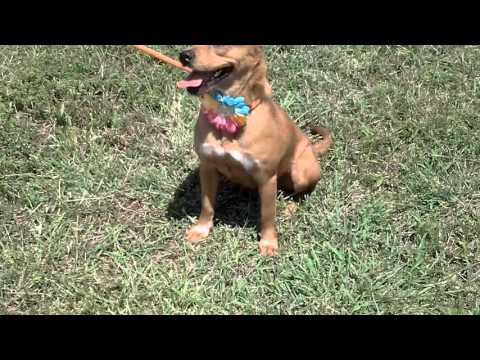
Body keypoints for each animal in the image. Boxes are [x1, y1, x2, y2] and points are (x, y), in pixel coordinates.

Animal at [177, 45, 334, 256]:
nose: (183, 56)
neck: (228, 111)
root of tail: (311, 146)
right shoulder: (207, 166)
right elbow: (207, 204)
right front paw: (201, 229)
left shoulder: (266, 177)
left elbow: (267, 215)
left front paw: (268, 243)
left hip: (302, 172)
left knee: (300, 193)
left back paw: (290, 207)